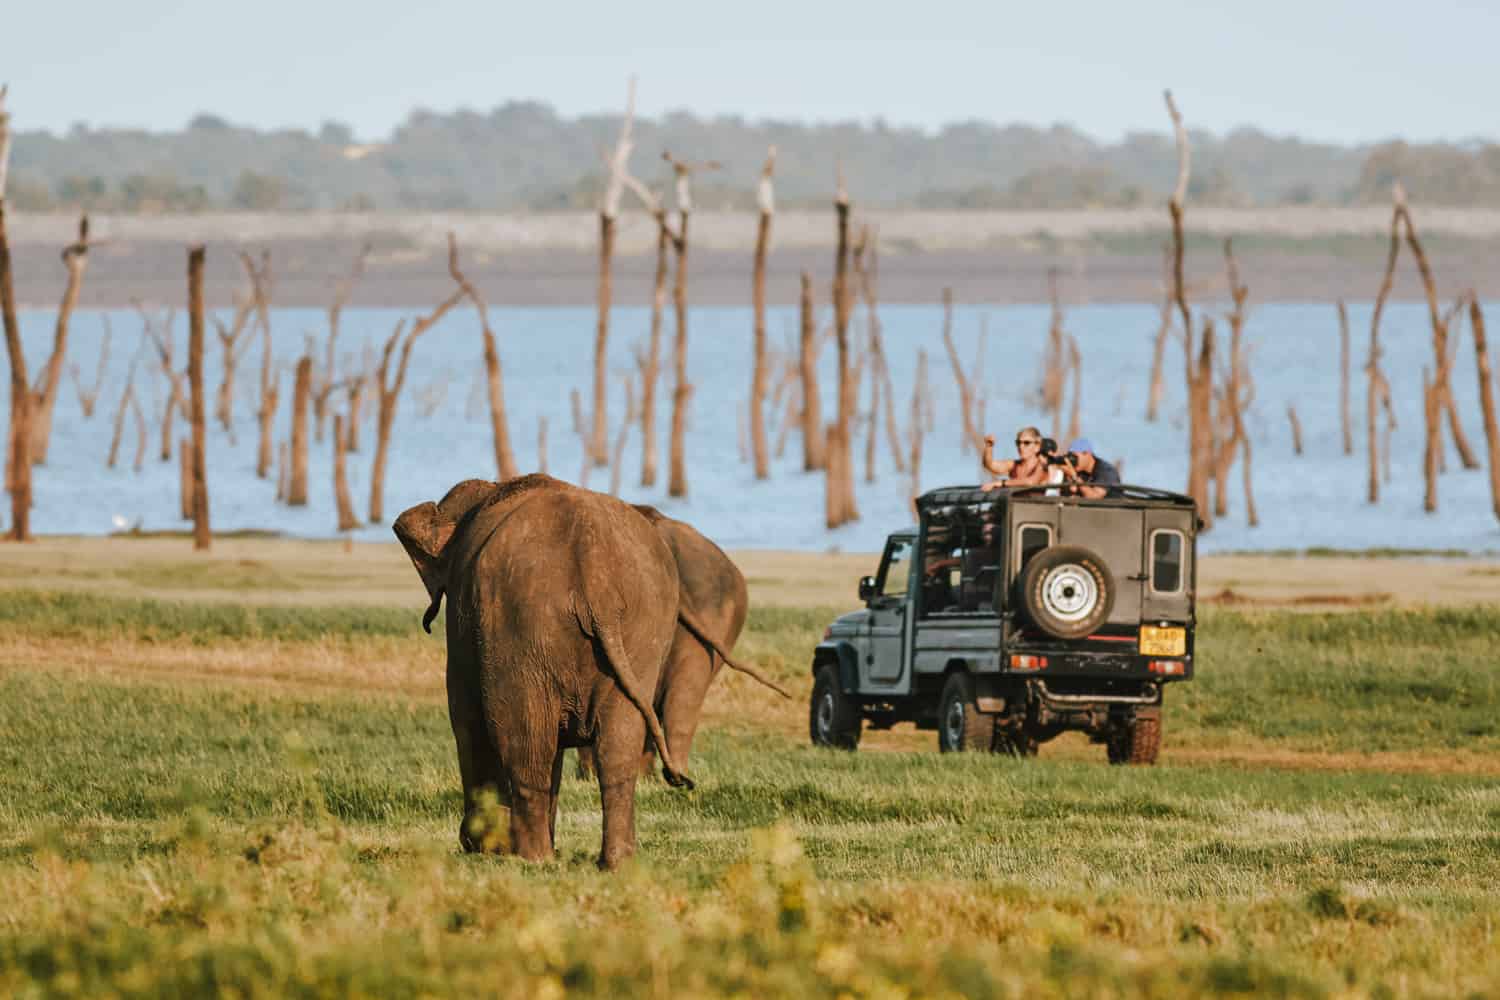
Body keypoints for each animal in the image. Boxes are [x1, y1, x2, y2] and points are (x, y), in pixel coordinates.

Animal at [390, 473, 687, 869]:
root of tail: (595, 572)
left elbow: (466, 716)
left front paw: (482, 845)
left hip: (522, 624)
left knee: (525, 745)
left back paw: (534, 859)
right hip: (642, 629)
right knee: (617, 747)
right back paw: (614, 863)